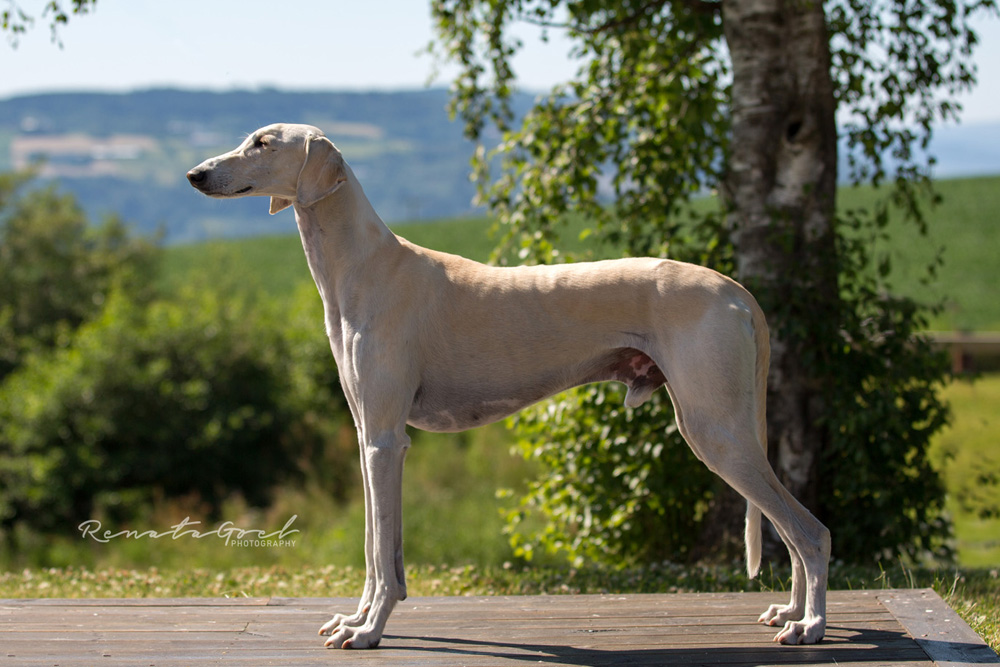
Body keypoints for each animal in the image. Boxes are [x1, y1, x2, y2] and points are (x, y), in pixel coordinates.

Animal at [188, 124, 828, 648]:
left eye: (263, 143)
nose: (195, 175)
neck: (364, 269)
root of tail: (736, 291)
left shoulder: (386, 441)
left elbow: (379, 550)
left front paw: (369, 631)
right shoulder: (371, 435)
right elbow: (378, 549)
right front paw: (358, 619)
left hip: (715, 431)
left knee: (810, 532)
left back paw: (812, 625)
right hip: (730, 430)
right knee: (789, 530)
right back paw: (791, 613)